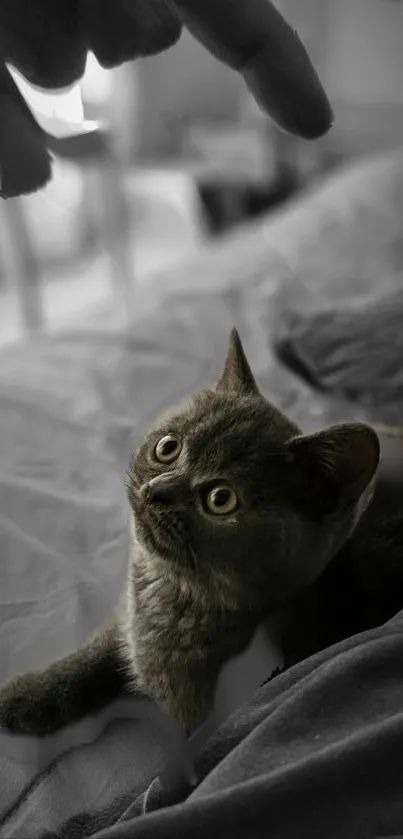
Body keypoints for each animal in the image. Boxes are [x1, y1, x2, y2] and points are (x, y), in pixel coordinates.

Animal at [0, 328, 380, 736]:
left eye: (220, 499)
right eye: (168, 447)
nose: (156, 491)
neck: (177, 592)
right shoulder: (128, 624)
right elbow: (97, 652)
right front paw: (27, 694)